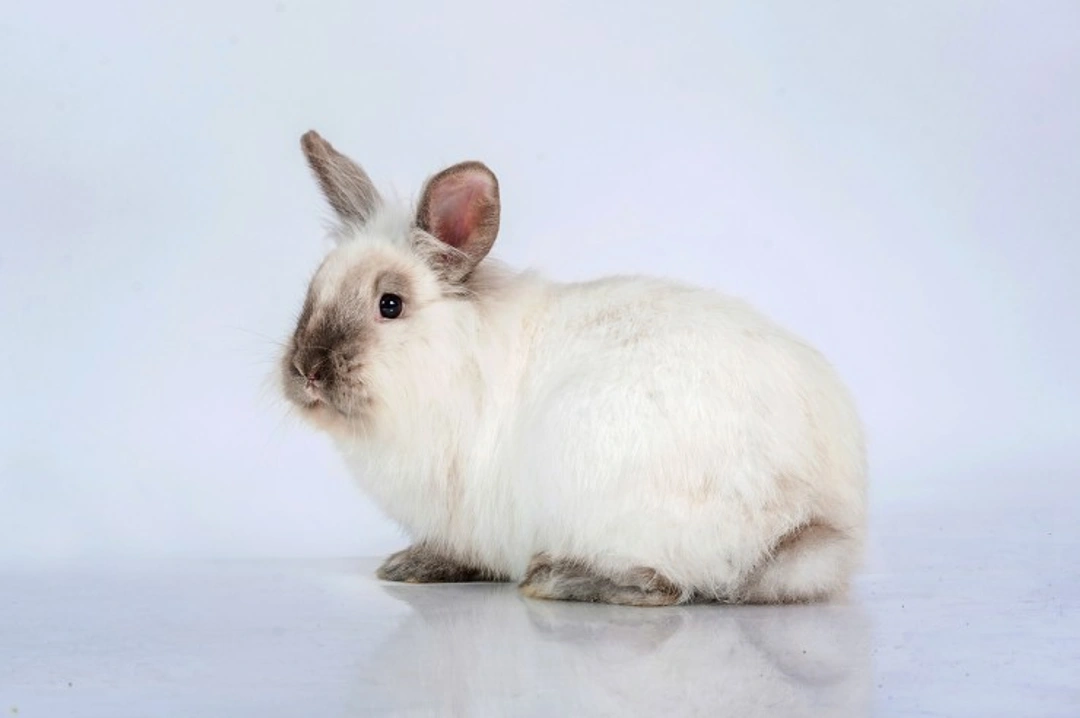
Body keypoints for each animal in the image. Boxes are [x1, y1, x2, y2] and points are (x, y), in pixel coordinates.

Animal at [280, 130, 868, 607]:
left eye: (391, 305)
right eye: (315, 288)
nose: (307, 369)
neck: (451, 360)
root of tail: (804, 522)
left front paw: (414, 564)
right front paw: (410, 565)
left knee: (663, 586)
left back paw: (555, 578)